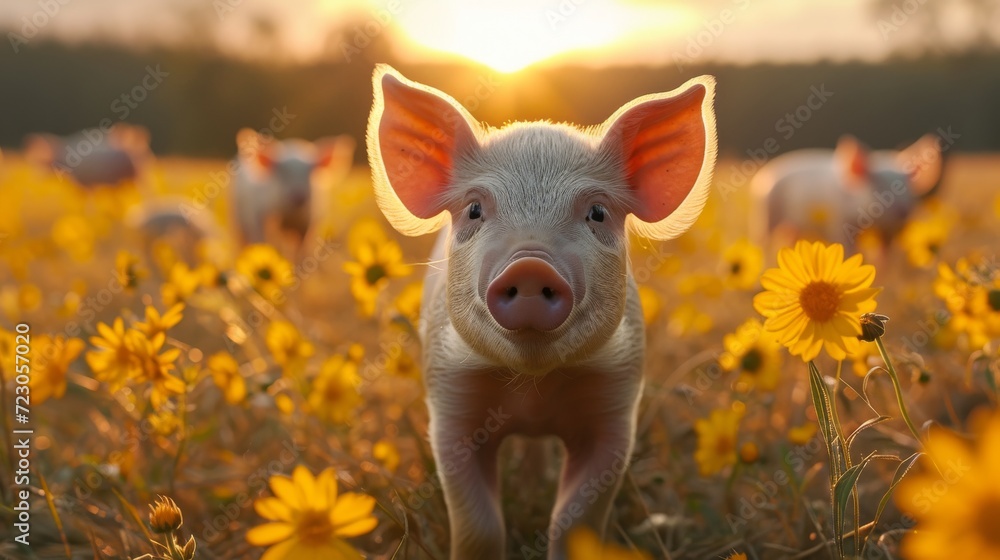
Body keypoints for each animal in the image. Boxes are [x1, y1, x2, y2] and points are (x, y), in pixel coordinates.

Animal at [366, 65, 717, 559]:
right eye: (474, 209)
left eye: (598, 212)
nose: (530, 265)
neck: (533, 386)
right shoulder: (449, 402)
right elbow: (479, 526)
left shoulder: (616, 408)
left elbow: (573, 521)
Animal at [751, 134, 943, 250]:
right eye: (878, 187)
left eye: (908, 188)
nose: (904, 210)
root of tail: (763, 176)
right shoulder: (840, 222)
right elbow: (848, 248)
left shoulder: (890, 232)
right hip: (766, 214)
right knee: (763, 239)